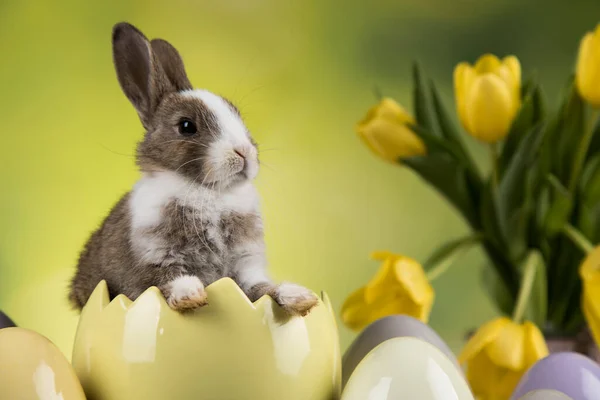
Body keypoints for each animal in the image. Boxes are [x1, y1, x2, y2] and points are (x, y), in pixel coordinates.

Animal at [67, 21, 318, 318]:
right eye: (187, 126)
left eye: (238, 117)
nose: (243, 152)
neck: (211, 192)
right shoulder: (150, 257)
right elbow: (164, 279)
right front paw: (191, 296)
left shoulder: (246, 268)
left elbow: (263, 289)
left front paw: (300, 297)